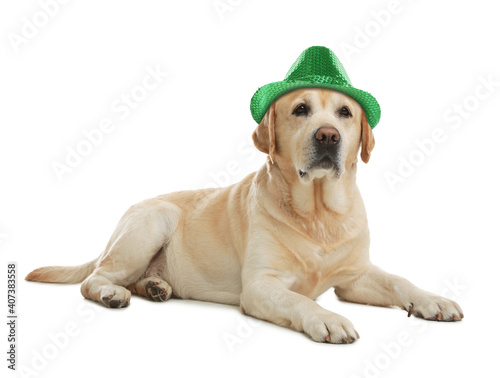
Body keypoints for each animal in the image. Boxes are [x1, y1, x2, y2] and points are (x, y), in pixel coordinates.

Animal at [27, 88, 462, 342]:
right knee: (96, 279)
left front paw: (433, 300)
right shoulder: (260, 286)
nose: (328, 136)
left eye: (345, 113)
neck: (319, 214)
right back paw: (113, 293)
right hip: (154, 221)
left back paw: (155, 287)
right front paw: (327, 319)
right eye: (301, 109)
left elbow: (399, 281)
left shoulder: (355, 278)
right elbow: (300, 301)